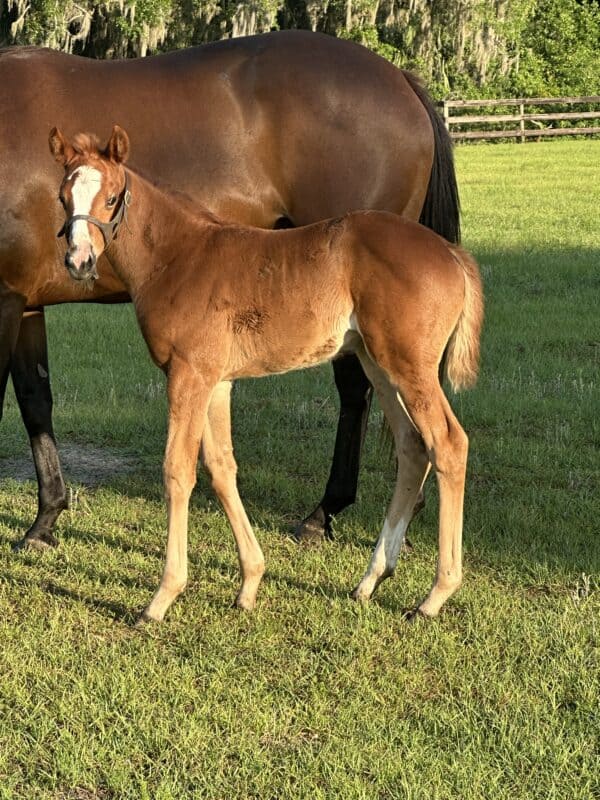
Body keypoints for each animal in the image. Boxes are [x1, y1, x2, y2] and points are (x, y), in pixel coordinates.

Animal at [0, 31, 460, 552]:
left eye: (112, 197)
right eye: (62, 197)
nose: (78, 259)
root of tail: (398, 79)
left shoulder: (4, 299)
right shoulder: (26, 301)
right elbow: (36, 399)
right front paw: (45, 519)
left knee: (356, 390)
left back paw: (324, 513)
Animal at [49, 124, 482, 623]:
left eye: (112, 197)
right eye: (63, 197)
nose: (78, 261)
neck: (176, 257)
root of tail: (451, 253)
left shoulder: (188, 375)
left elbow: (178, 470)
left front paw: (161, 598)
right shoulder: (216, 381)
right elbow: (221, 468)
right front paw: (250, 583)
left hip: (409, 367)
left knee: (448, 444)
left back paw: (435, 595)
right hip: (379, 364)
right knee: (413, 447)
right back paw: (371, 579)